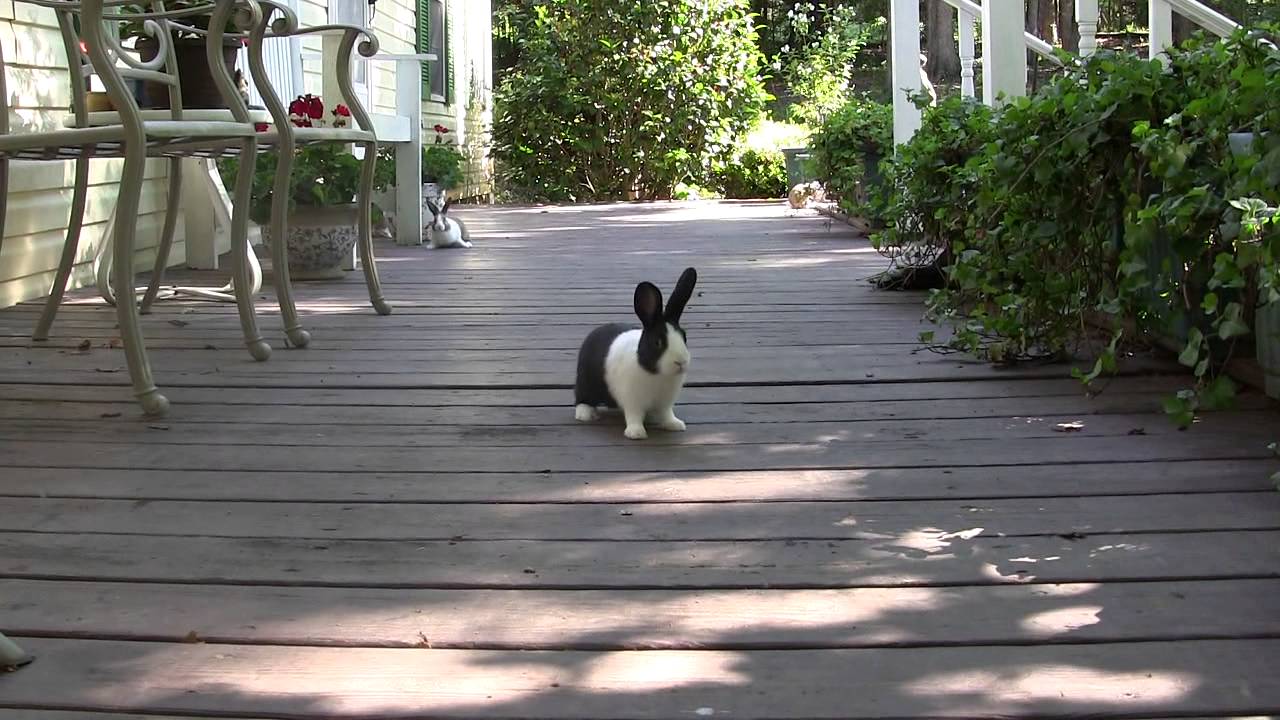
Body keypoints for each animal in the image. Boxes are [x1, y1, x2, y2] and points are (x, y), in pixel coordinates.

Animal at [574, 267, 698, 440]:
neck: (656, 374)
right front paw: (636, 433)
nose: (681, 362)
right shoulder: (633, 401)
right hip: (586, 381)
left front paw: (675, 424)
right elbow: (634, 416)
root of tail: (593, 333)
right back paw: (585, 414)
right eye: (658, 342)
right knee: (581, 398)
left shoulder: (665, 403)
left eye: (684, 337)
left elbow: (667, 414)